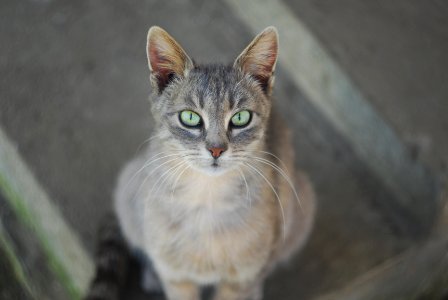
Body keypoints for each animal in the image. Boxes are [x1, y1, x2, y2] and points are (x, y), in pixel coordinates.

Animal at [113, 26, 316, 300]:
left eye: (241, 117)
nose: (216, 150)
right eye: (190, 117)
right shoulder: (177, 278)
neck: (206, 197)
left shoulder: (240, 279)